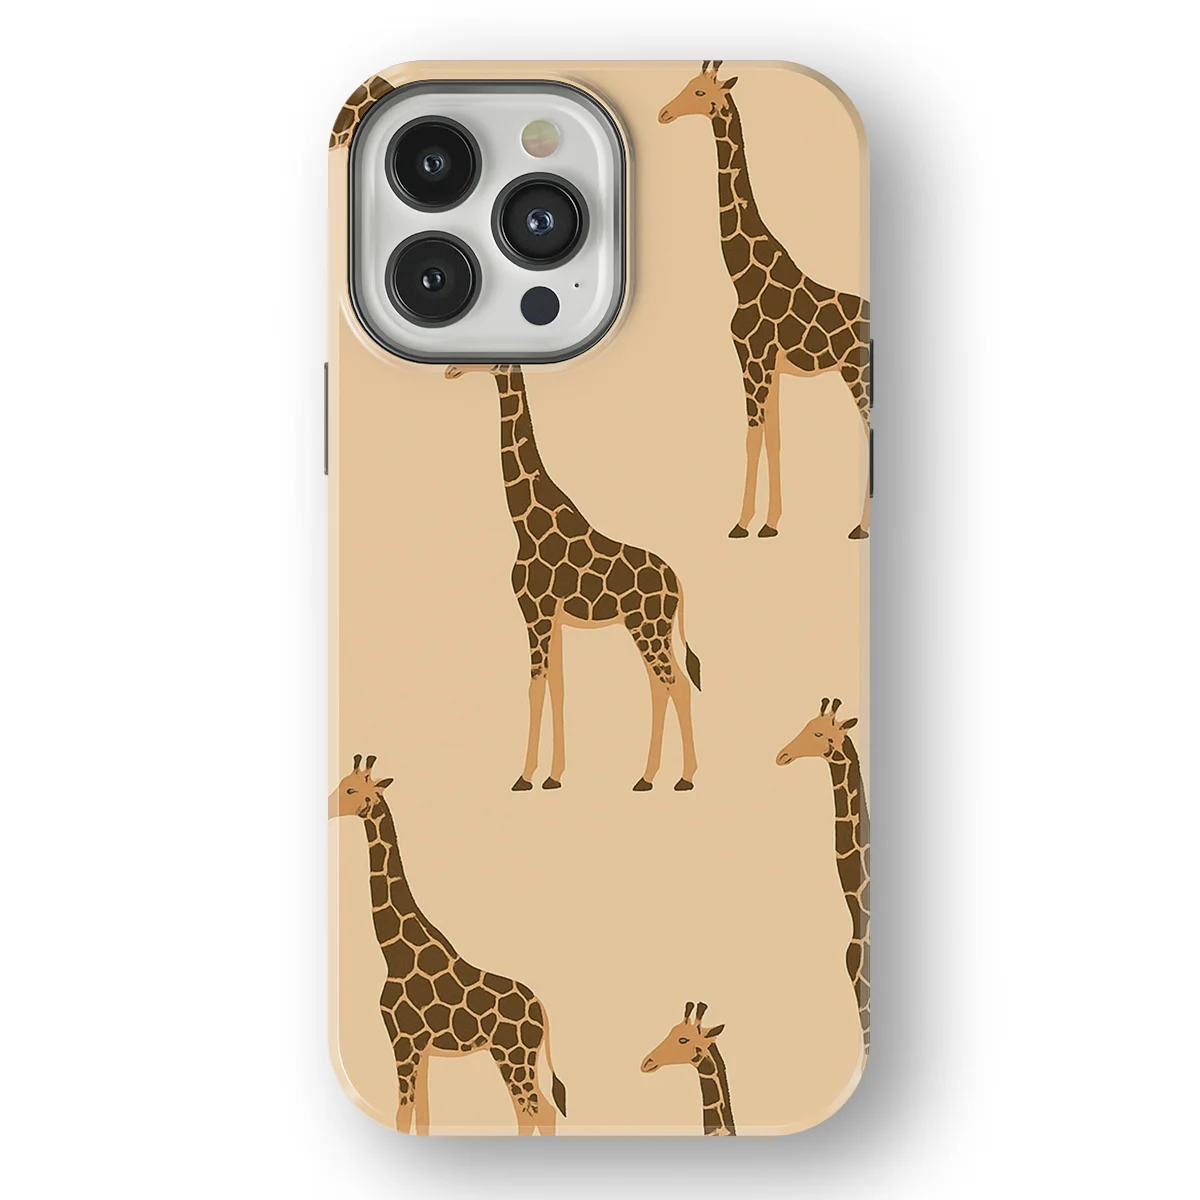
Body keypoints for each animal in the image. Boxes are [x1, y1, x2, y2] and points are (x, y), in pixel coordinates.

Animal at [330, 755, 568, 1134]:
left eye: (351, 790)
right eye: (341, 785)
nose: (326, 808)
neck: (394, 954)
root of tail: (542, 1010)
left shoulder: (403, 1042)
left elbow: (402, 1114)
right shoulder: (423, 1051)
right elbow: (423, 1117)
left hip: (514, 1055)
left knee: (538, 1111)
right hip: (513, 1057)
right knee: (531, 1112)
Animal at [444, 364, 701, 792]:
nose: (451, 369)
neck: (526, 524)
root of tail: (678, 584)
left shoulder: (535, 613)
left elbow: (535, 688)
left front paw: (525, 776)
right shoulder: (554, 620)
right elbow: (557, 688)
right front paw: (553, 776)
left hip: (648, 628)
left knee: (675, 684)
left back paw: (684, 778)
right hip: (650, 629)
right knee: (660, 685)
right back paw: (647, 777)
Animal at [659, 61, 872, 541]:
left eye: (698, 92)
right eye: (686, 85)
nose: (663, 114)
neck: (743, 278)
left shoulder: (752, 359)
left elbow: (751, 435)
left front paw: (740, 524)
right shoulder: (770, 368)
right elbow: (774, 437)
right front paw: (770, 524)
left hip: (857, 372)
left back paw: (861, 528)